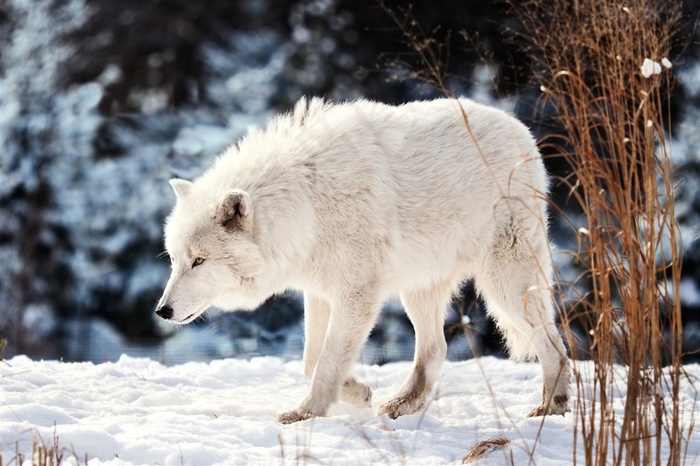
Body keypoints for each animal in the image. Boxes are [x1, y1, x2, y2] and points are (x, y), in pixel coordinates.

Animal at [157, 97, 568, 422]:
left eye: (199, 261)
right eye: (175, 260)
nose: (162, 310)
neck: (306, 207)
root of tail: (521, 129)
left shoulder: (357, 295)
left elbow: (326, 361)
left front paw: (307, 413)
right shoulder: (320, 293)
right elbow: (312, 359)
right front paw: (357, 392)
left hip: (505, 282)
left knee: (555, 344)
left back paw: (552, 405)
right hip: (418, 289)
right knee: (435, 350)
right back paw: (403, 404)